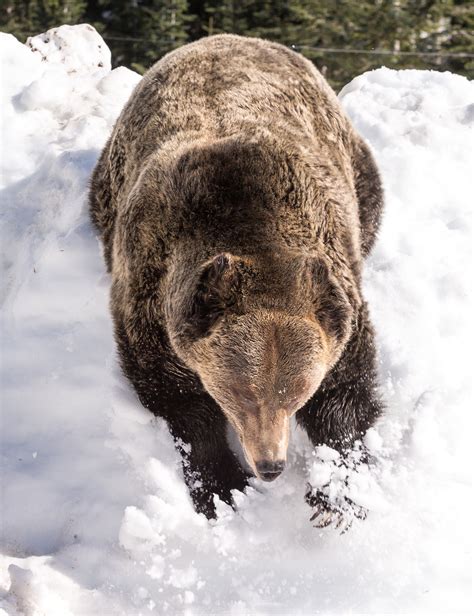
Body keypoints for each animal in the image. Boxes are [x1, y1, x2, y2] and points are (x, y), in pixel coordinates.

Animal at [90, 33, 386, 524]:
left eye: (294, 395)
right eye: (240, 394)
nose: (270, 465)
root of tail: (227, 37)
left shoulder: (338, 294)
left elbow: (346, 394)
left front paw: (337, 494)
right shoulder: (149, 285)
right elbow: (177, 398)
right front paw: (222, 486)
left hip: (358, 170)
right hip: (108, 184)